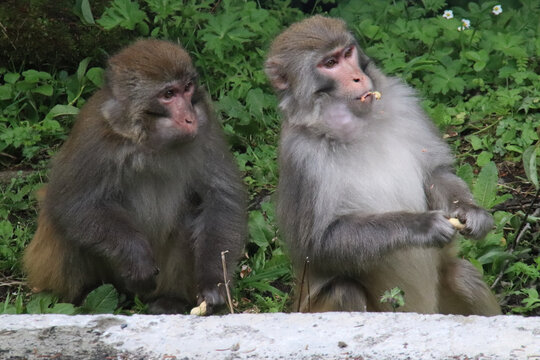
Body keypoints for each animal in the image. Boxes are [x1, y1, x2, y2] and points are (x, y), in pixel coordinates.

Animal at [22, 39, 247, 314]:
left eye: (187, 88)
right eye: (168, 94)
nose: (189, 118)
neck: (149, 141)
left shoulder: (206, 126)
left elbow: (220, 199)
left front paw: (213, 282)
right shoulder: (93, 138)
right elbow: (71, 204)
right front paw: (136, 256)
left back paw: (171, 300)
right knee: (61, 223)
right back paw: (84, 296)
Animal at [266, 16, 502, 316]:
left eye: (347, 53)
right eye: (329, 63)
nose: (357, 77)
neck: (357, 126)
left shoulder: (405, 103)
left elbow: (436, 173)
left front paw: (471, 213)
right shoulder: (301, 157)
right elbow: (316, 245)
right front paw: (421, 226)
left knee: (463, 276)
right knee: (345, 291)